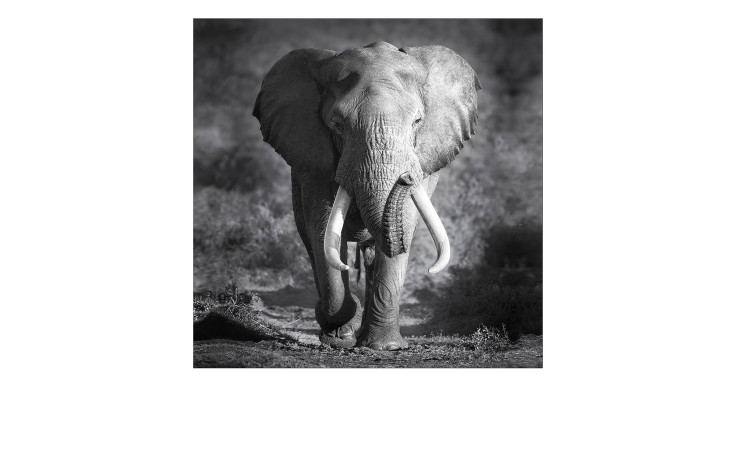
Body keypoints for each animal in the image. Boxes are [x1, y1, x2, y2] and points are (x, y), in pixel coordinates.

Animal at [253, 41, 480, 350]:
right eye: (337, 124)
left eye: (417, 121)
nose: (406, 178)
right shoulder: (312, 157)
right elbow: (322, 227)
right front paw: (339, 334)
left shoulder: (426, 155)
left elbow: (405, 222)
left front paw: (385, 347)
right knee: (312, 241)